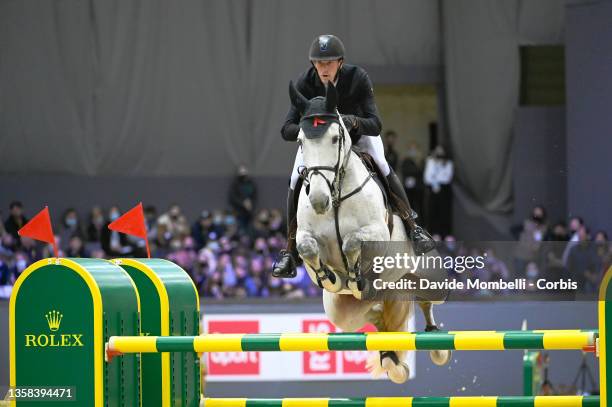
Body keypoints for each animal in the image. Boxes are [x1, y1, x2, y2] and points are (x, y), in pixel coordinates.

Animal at [286, 81, 450, 384]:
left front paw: (353, 274)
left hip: (431, 280)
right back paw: (391, 359)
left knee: (427, 302)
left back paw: (437, 345)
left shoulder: (376, 233)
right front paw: (331, 277)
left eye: (335, 139)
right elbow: (307, 248)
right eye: (301, 141)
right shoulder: (305, 236)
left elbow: (352, 242)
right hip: (344, 312)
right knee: (376, 319)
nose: (318, 201)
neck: (335, 195)